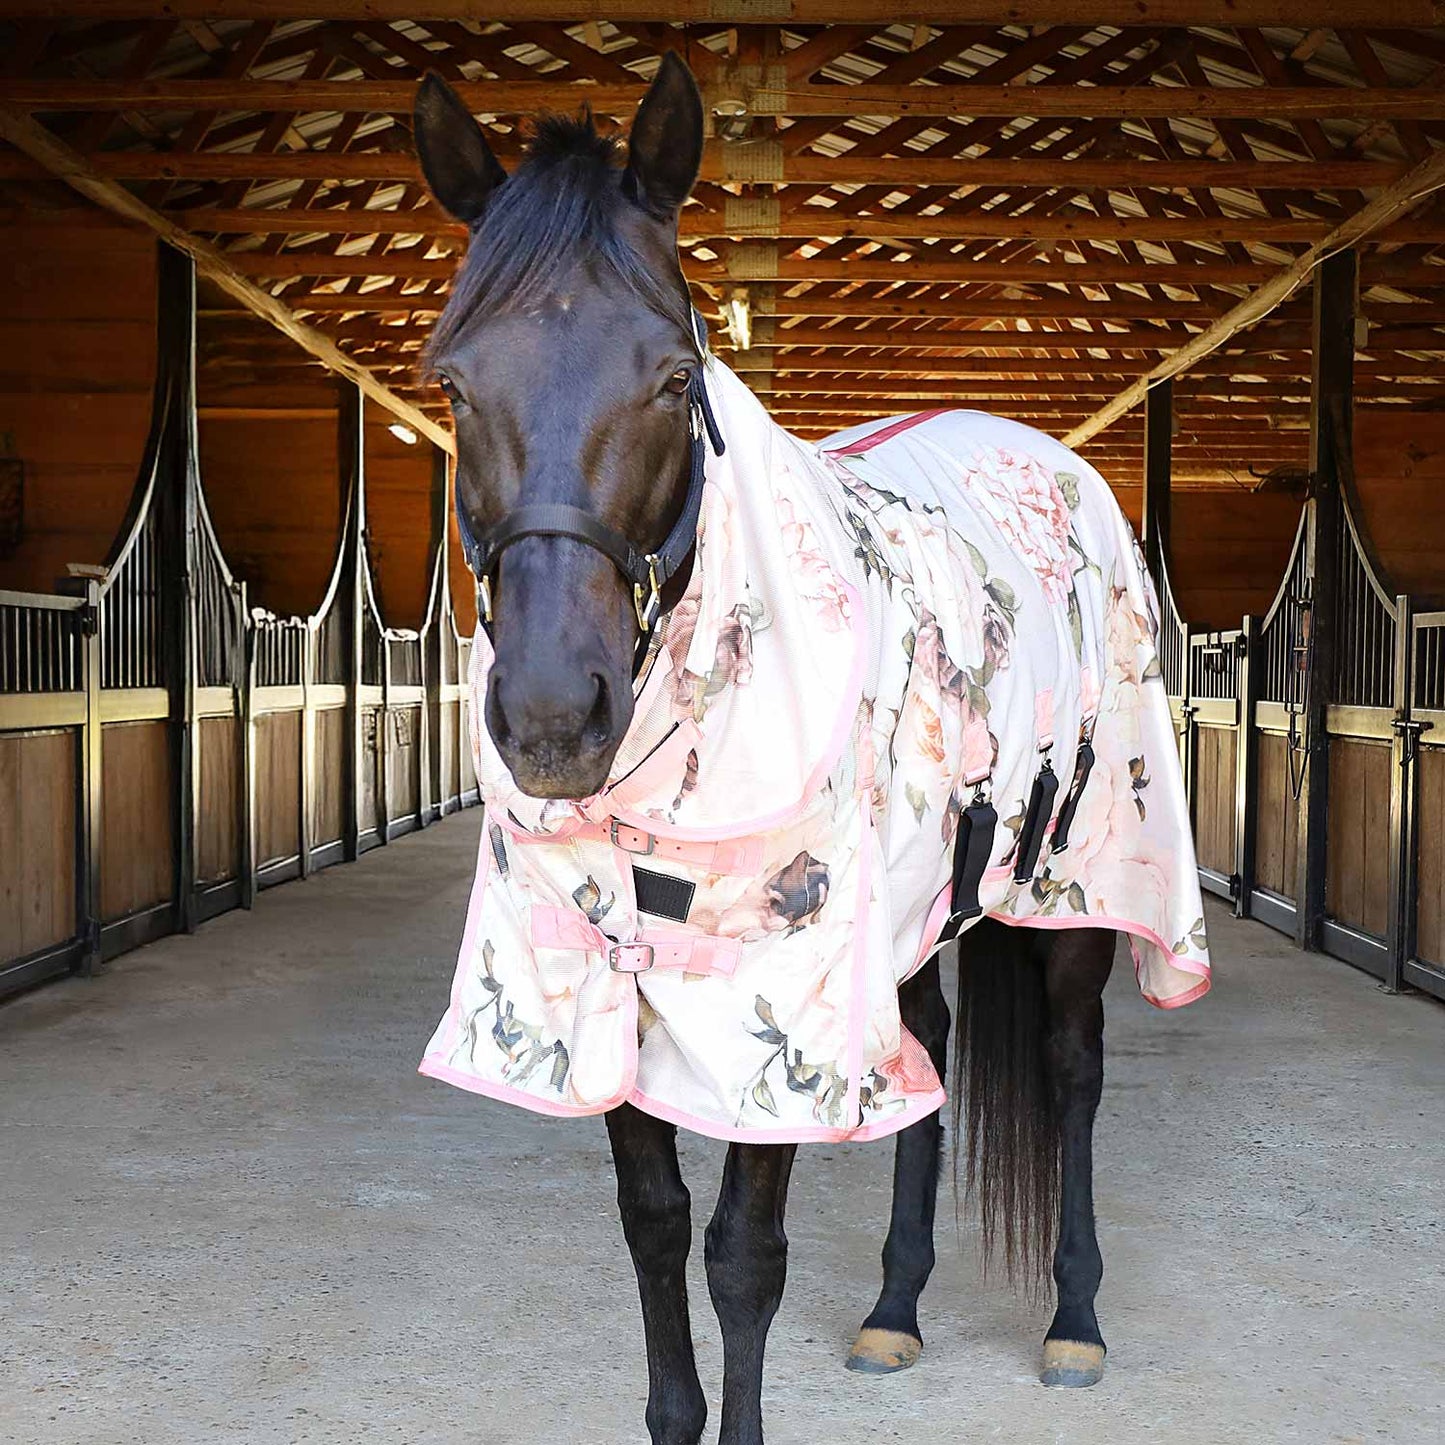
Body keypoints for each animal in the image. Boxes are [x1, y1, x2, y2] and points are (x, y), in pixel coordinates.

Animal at [412, 55, 1210, 1445]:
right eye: (455, 380)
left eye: (674, 379)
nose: (556, 719)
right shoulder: (608, 976)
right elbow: (653, 1227)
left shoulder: (771, 990)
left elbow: (741, 1256)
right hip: (918, 902)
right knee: (927, 1049)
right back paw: (894, 1305)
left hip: (1076, 886)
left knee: (1071, 1072)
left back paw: (1073, 1320)